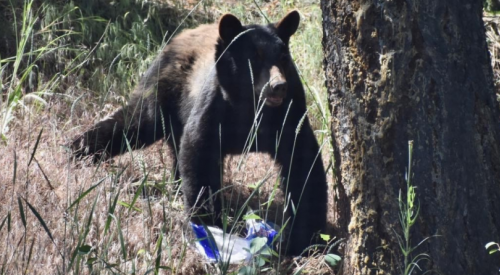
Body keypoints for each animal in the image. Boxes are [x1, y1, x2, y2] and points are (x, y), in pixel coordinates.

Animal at [71, 10, 328, 256]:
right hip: (162, 90)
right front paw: (206, 224)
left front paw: (306, 238)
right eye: (255, 57)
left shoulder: (290, 113)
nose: (278, 86)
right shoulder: (214, 107)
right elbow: (199, 154)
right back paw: (77, 150)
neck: (251, 107)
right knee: (136, 123)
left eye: (283, 58)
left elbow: (303, 164)